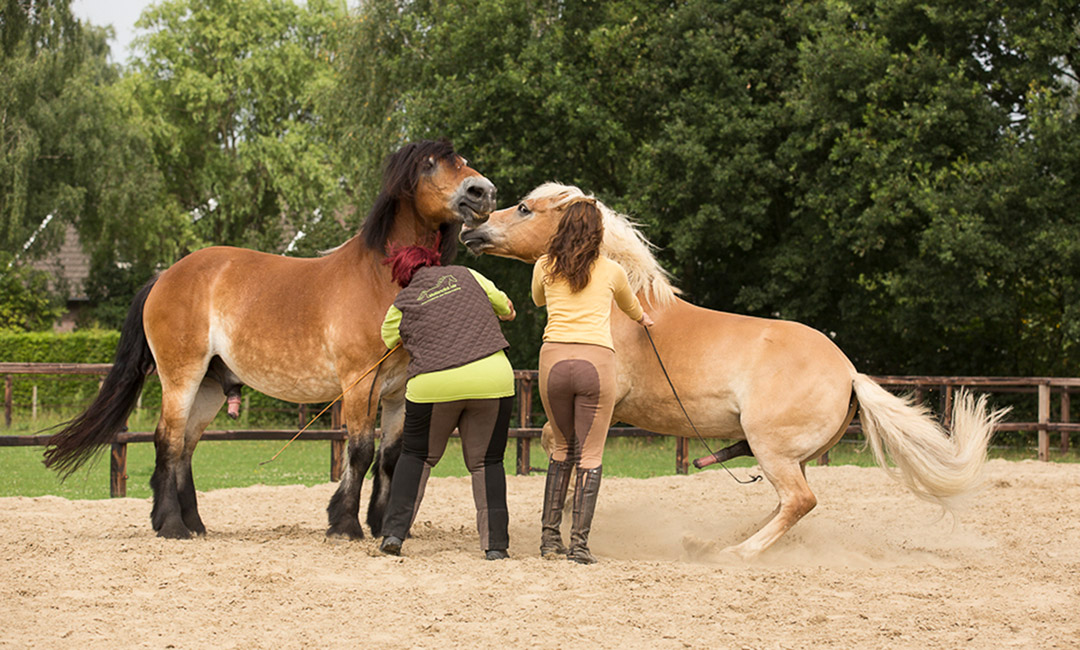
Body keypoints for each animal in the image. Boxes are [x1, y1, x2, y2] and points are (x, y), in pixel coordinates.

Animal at [43, 139, 496, 539]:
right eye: (430, 165)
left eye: (462, 160)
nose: (483, 192)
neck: (379, 278)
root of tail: (164, 276)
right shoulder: (358, 384)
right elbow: (360, 452)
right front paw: (345, 526)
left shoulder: (398, 391)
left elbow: (388, 458)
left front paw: (383, 525)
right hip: (181, 377)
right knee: (168, 442)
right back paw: (171, 526)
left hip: (210, 386)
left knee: (187, 447)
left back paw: (194, 524)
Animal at [460, 181, 1006, 557]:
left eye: (525, 208)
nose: (471, 228)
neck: (619, 306)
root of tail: (849, 373)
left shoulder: (597, 407)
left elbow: (563, 452)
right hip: (787, 455)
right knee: (790, 504)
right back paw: (715, 542)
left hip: (771, 448)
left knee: (799, 501)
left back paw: (736, 552)